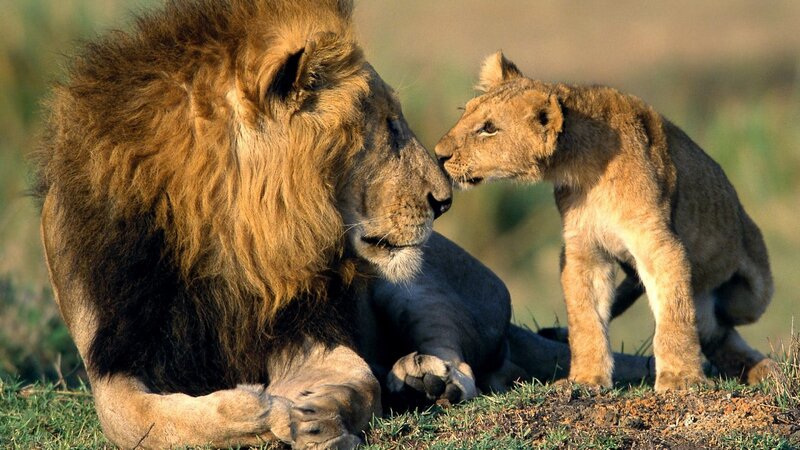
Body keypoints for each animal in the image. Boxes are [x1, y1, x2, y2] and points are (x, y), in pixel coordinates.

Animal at [434, 51, 777, 392]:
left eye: (489, 128)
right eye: (465, 114)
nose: (438, 155)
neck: (583, 168)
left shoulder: (659, 244)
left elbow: (675, 314)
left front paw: (680, 378)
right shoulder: (583, 250)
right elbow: (586, 319)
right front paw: (587, 378)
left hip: (751, 294)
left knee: (720, 323)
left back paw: (764, 368)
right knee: (713, 332)